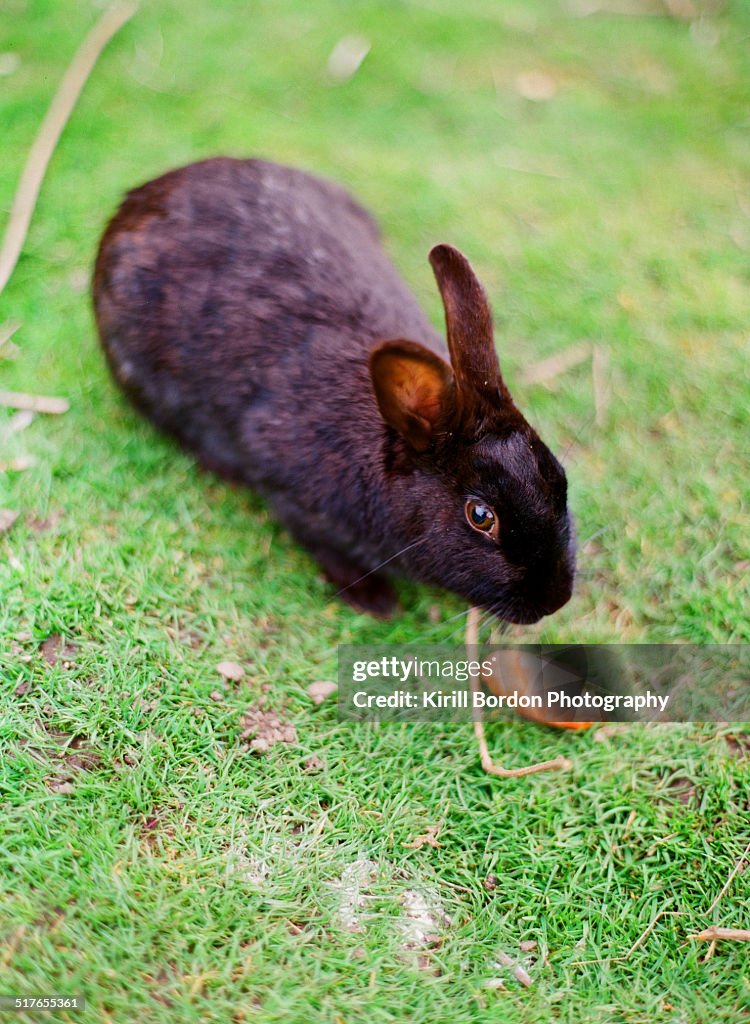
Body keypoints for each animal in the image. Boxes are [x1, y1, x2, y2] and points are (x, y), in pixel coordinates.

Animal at [92, 157, 575, 623]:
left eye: (558, 477)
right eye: (481, 517)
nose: (555, 601)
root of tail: (143, 197)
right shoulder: (294, 500)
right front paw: (376, 602)